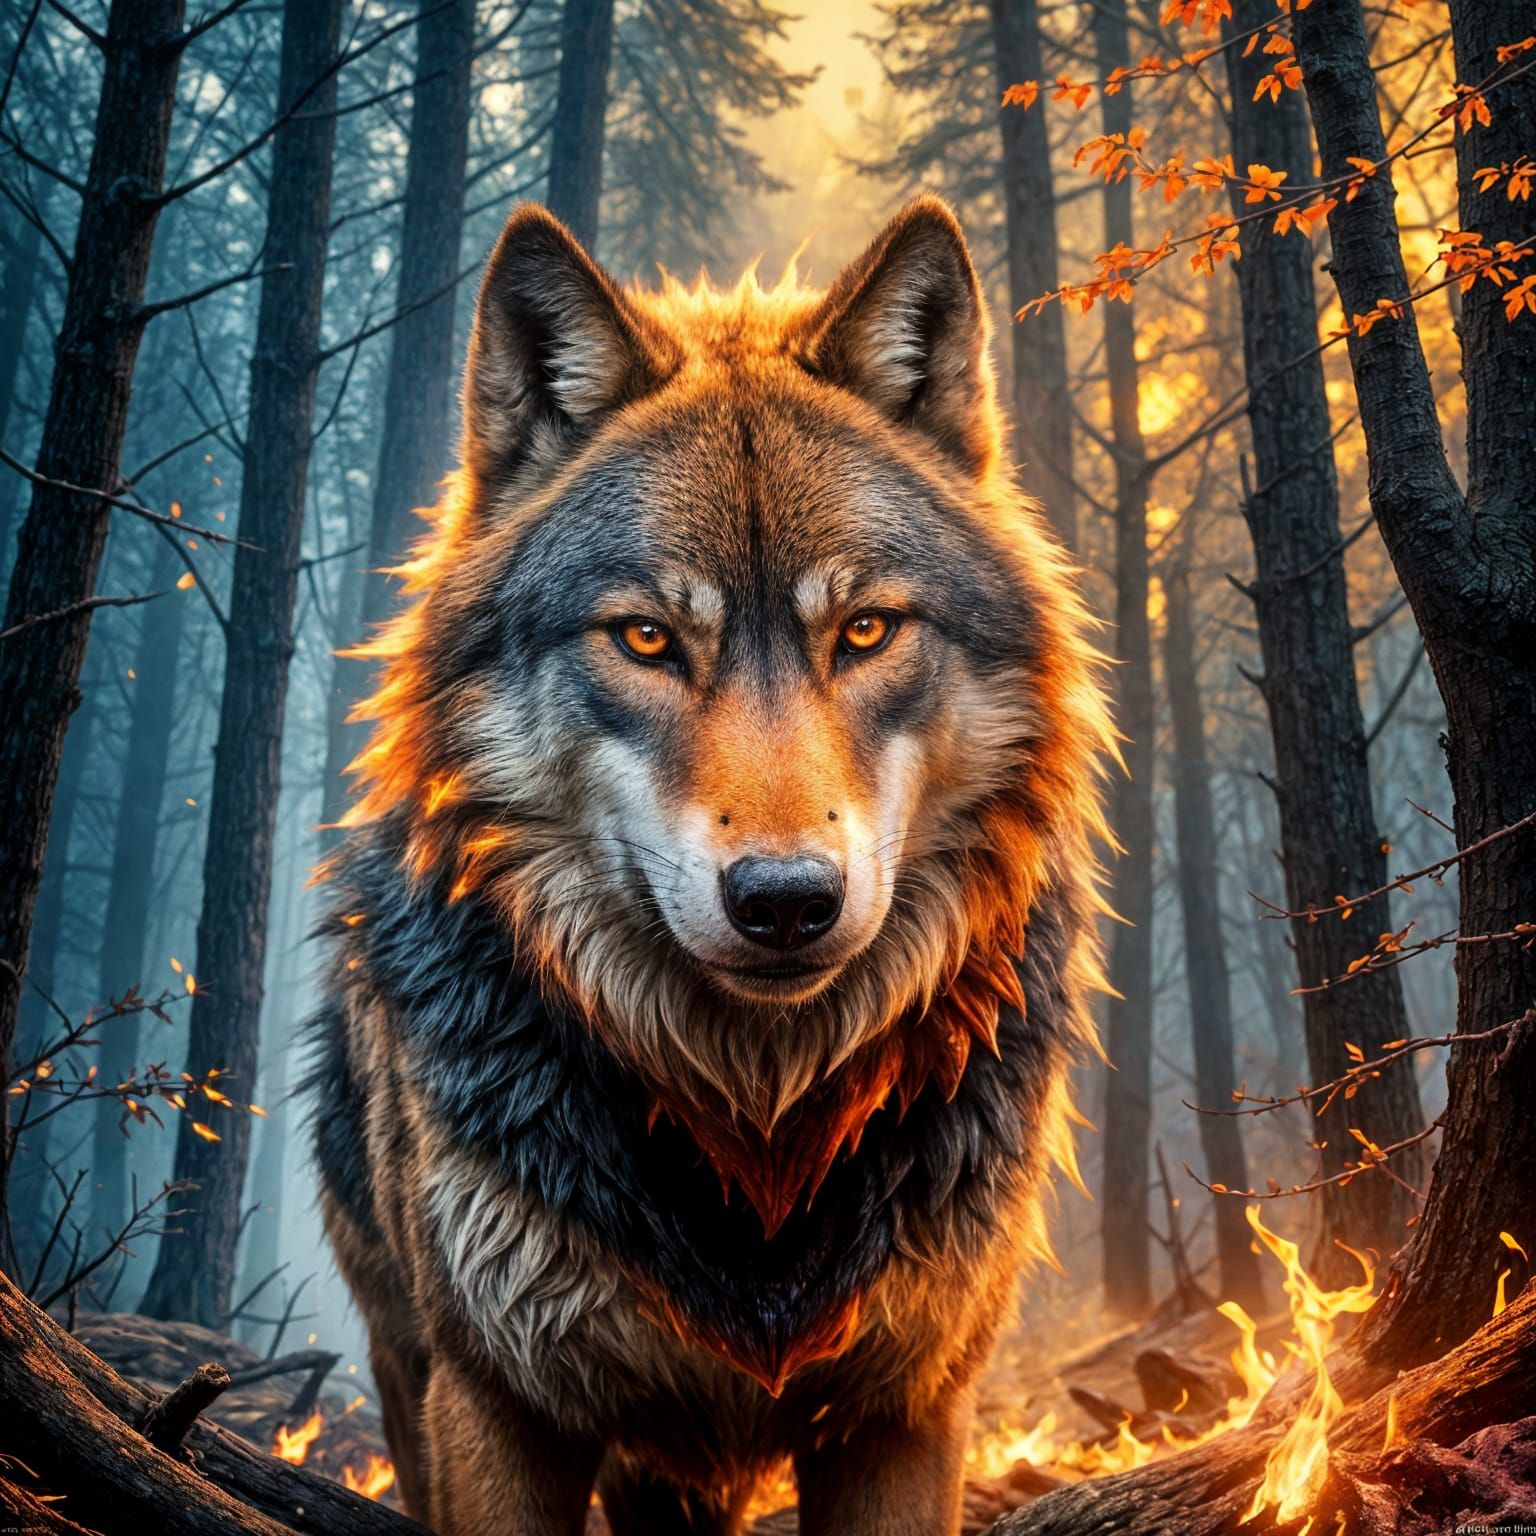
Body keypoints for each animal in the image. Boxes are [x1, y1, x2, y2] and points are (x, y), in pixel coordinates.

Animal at [313, 195, 1113, 1535]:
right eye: (646, 638)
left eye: (865, 630)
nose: (786, 902)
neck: (759, 1127)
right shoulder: (499, 1402)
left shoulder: (906, 1409)